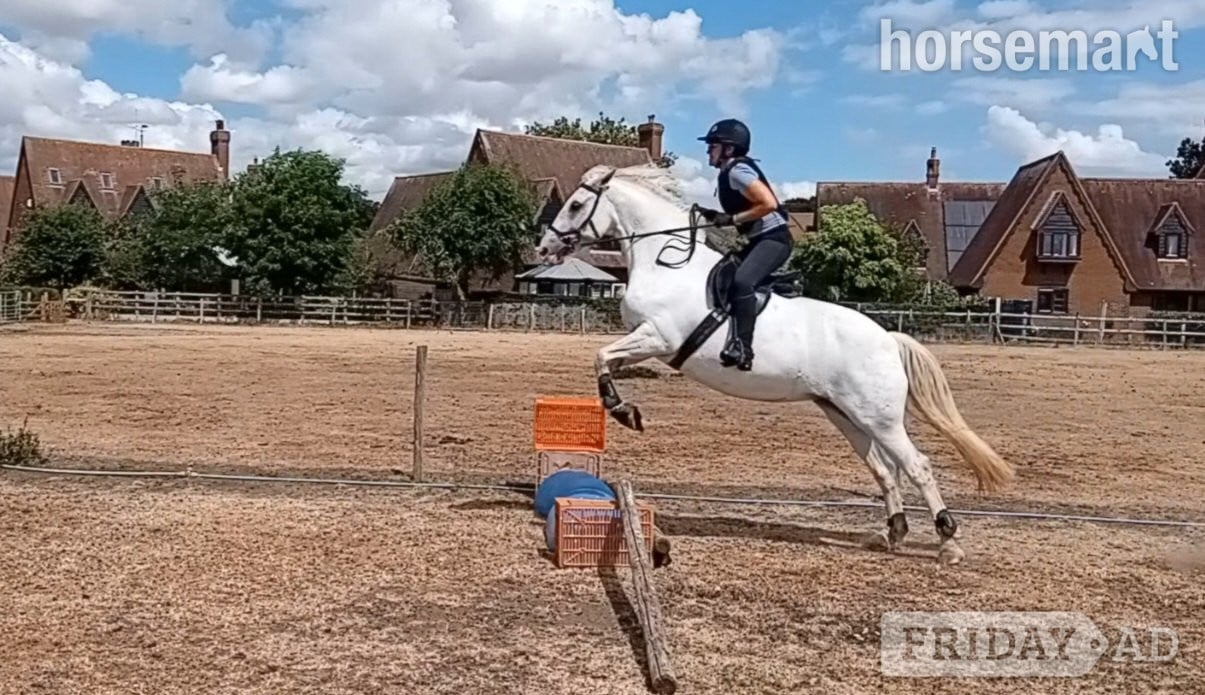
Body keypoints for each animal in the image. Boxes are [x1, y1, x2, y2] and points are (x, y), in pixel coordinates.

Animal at [534, 163, 1015, 565]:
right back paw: (892, 533)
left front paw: (623, 411)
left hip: (880, 418)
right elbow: (604, 359)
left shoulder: (658, 337)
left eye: (575, 205)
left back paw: (948, 541)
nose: (544, 246)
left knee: (916, 466)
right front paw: (623, 408)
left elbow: (602, 356)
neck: (663, 261)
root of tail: (887, 340)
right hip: (846, 414)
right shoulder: (647, 340)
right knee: (884, 468)